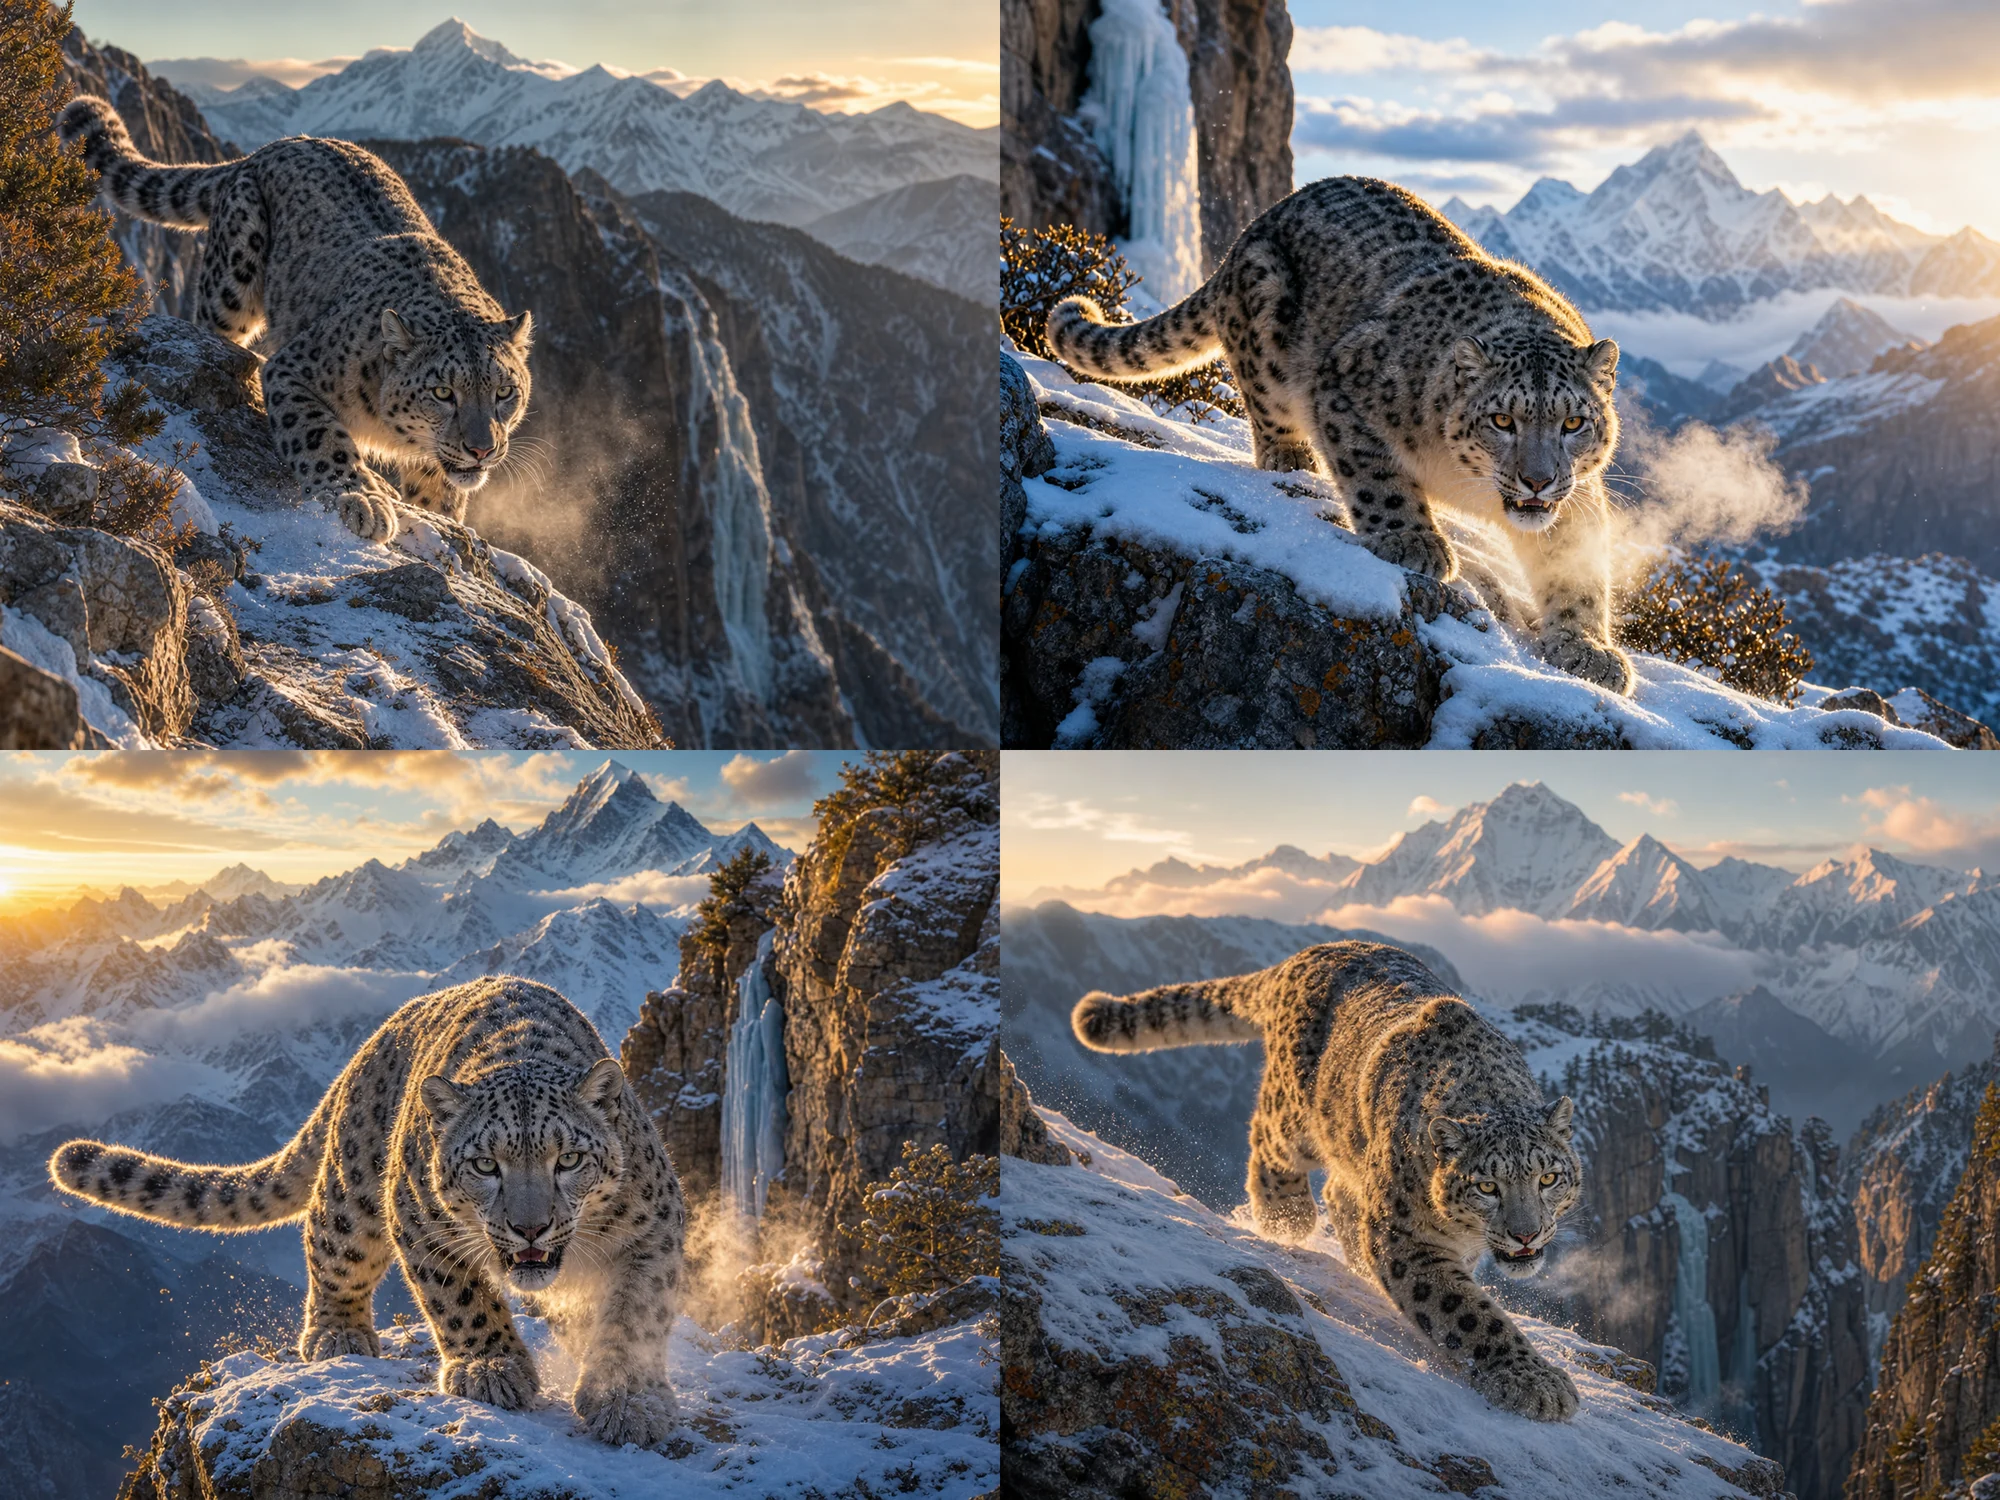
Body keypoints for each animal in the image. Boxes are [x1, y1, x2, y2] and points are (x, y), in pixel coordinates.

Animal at [49, 976, 684, 1449]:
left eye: (569, 1158)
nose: (531, 1228)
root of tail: (373, 1039)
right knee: (327, 1243)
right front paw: (491, 1369)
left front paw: (629, 1400)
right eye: (485, 1165)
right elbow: (461, 1301)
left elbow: (637, 1313)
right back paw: (337, 1334)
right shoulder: (420, 1223)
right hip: (352, 1195)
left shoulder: (654, 1228)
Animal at [58, 94, 534, 545]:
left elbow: (438, 491)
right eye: (442, 392)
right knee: (215, 330)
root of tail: (272, 147)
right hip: (232, 275)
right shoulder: (293, 369)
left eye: (504, 391)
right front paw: (361, 499)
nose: (481, 450)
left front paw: (437, 513)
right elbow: (320, 435)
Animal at [1048, 175, 1634, 695]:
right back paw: (1291, 457)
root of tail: (1249, 232)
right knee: (1268, 408)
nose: (1537, 481)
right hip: (1267, 330)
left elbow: (1577, 569)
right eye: (1503, 421)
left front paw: (1589, 651)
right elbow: (1378, 479)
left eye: (1573, 423)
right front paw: (1412, 540)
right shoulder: (1344, 386)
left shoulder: (1579, 494)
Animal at [1072, 940, 1583, 1421]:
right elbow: (1467, 1312)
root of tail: (1309, 954)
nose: (1526, 1234)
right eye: (1487, 1187)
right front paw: (1536, 1382)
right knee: (1268, 1141)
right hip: (1294, 1113)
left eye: (1548, 1177)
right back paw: (1287, 1219)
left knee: (1338, 1190)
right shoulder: (1405, 1237)